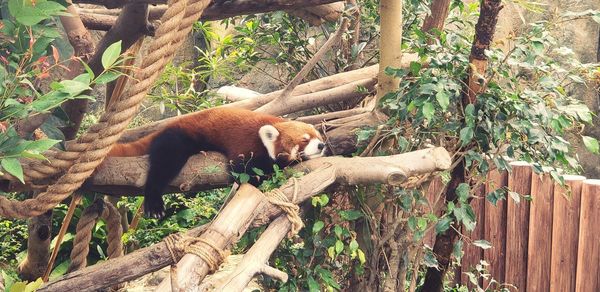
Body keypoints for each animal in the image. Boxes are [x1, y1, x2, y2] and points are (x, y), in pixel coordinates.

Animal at [108, 107, 324, 217]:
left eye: (318, 136)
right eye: (304, 140)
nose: (322, 145)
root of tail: (166, 126)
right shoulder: (246, 144)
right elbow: (244, 172)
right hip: (179, 138)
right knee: (164, 164)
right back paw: (154, 203)